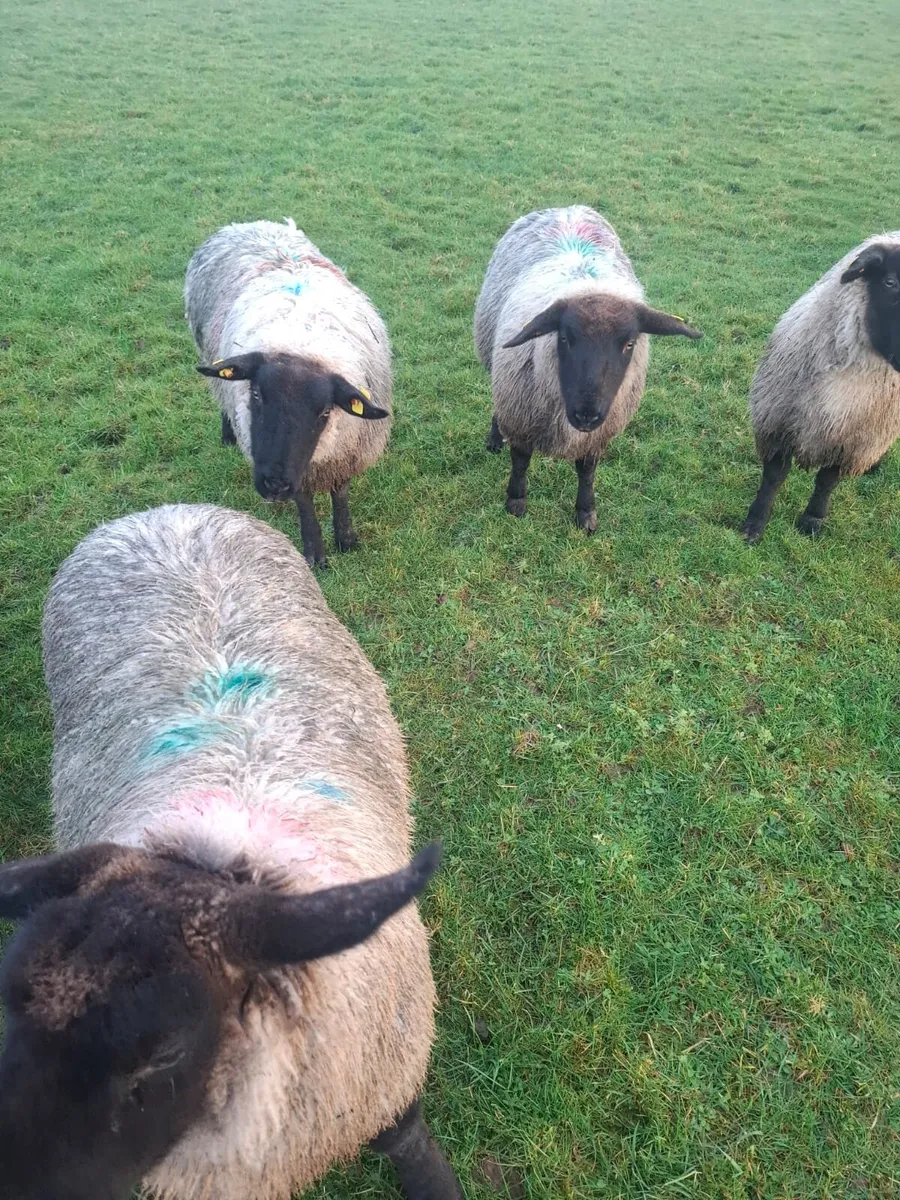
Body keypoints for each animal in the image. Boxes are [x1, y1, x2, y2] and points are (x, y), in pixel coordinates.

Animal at [0, 503, 461, 1200]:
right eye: (7, 1014)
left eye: (166, 1052)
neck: (226, 858)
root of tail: (163, 513)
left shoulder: (387, 1086)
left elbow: (417, 1155)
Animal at [185, 219, 392, 567]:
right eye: (255, 394)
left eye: (325, 411)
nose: (274, 484)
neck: (301, 344)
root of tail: (246, 224)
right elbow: (305, 501)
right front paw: (315, 554)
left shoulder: (347, 449)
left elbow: (341, 491)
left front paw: (346, 539)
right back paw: (227, 434)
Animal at [474, 206, 702, 532]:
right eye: (565, 338)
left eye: (629, 344)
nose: (586, 414)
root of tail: (566, 208)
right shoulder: (520, 414)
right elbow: (520, 460)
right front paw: (516, 502)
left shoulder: (599, 433)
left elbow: (587, 470)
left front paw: (586, 512)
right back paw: (495, 439)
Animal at [740, 232, 900, 542]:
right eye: (890, 282)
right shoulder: (779, 419)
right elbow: (774, 476)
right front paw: (754, 523)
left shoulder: (852, 438)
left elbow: (827, 480)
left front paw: (812, 519)